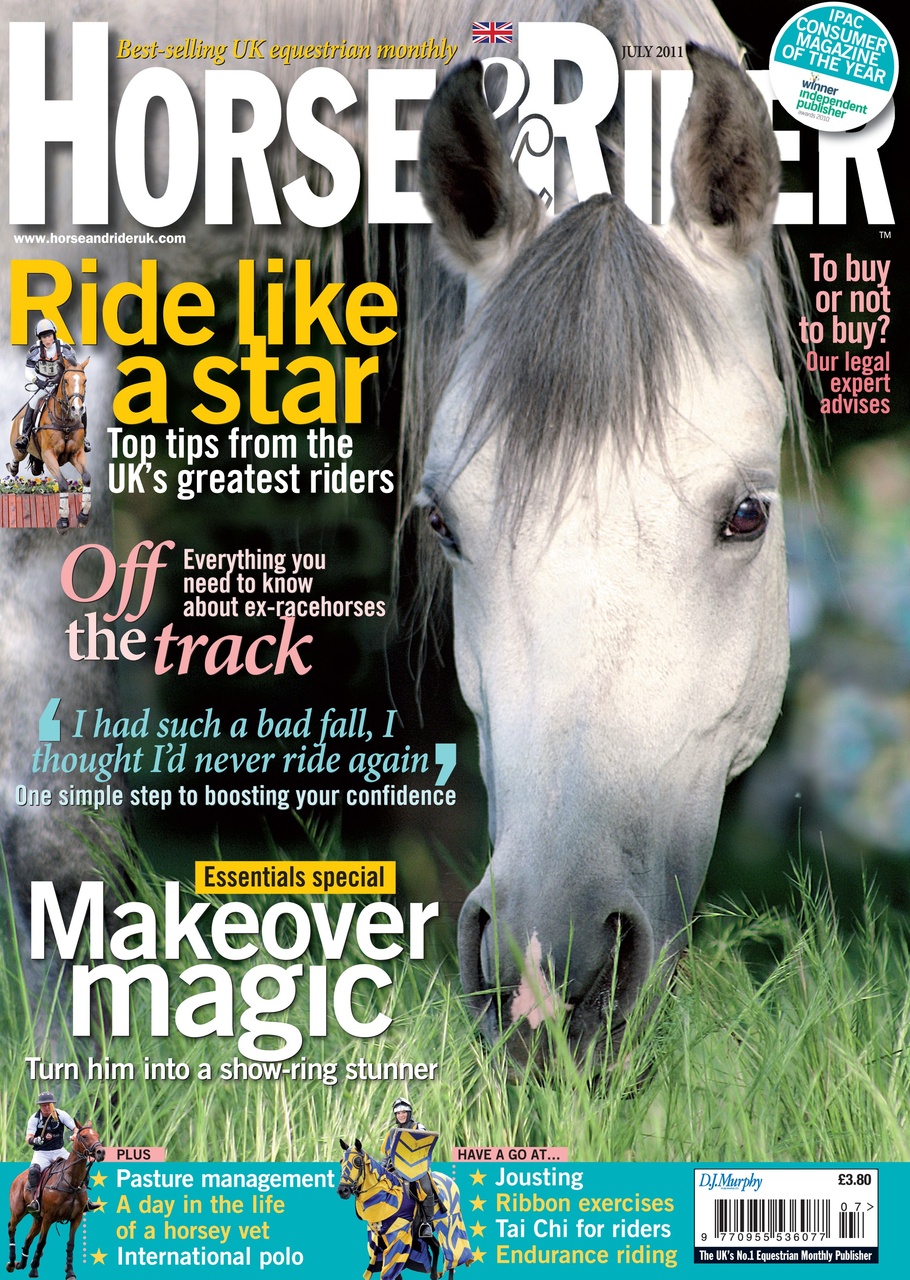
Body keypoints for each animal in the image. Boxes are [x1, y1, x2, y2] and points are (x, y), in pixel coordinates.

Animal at [7, 1125, 105, 1280]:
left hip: (38, 1219)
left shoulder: (77, 1217)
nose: (101, 1152)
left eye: (97, 1135)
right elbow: (42, 1242)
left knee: (28, 1238)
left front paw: (70, 1272)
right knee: (11, 1227)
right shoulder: (49, 1217)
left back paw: (21, 1263)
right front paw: (34, 1270)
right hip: (19, 1212)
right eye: (84, 1136)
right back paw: (11, 1262)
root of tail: (18, 1178)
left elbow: (70, 1244)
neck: (71, 1182)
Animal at [8, 360, 93, 531]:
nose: (77, 409)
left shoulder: (77, 454)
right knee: (17, 455)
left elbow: (86, 477)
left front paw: (83, 516)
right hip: (19, 448)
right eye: (65, 381)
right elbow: (62, 483)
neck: (65, 421)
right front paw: (63, 520)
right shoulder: (49, 455)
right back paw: (12, 467)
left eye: (85, 381)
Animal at [338, 1140, 473, 1280]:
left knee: (453, 1256)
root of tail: (450, 1181)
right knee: (436, 1246)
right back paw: (433, 1275)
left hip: (449, 1224)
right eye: (341, 1161)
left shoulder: (398, 1236)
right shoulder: (380, 1239)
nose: (343, 1190)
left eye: (357, 1161)